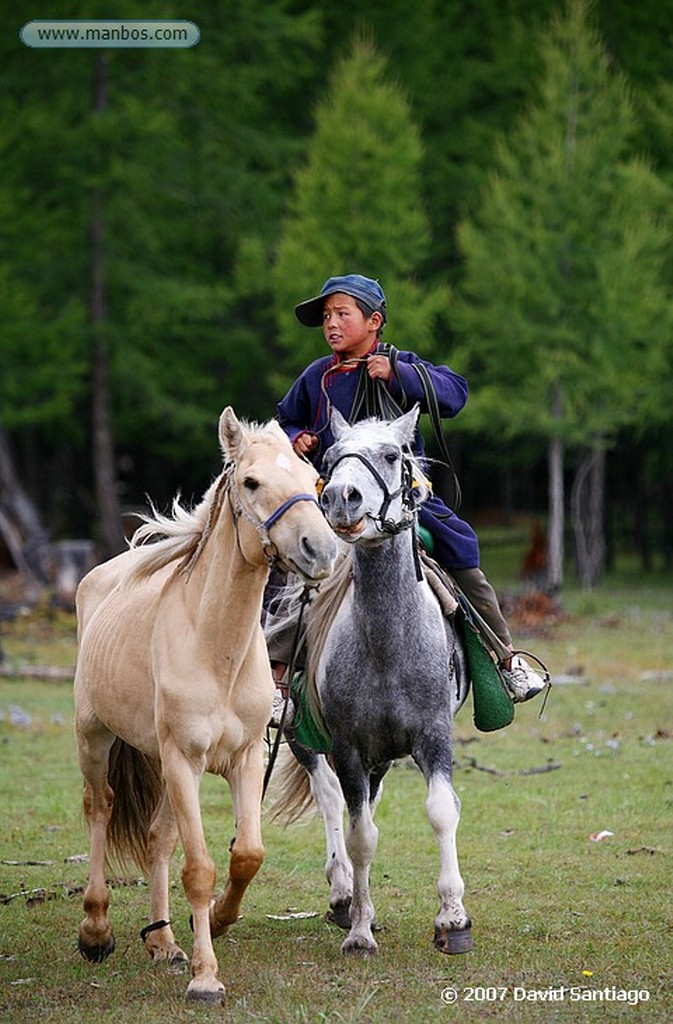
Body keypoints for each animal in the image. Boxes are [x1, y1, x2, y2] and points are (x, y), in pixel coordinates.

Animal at [73, 407, 335, 999]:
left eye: (314, 482)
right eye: (251, 482)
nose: (321, 550)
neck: (214, 646)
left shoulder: (244, 760)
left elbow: (246, 856)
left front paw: (217, 920)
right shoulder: (184, 760)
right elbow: (199, 869)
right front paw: (206, 977)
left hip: (163, 764)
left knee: (157, 838)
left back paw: (164, 942)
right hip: (96, 738)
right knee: (100, 808)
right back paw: (96, 931)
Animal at [268, 407, 473, 958]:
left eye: (390, 454)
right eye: (331, 458)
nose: (341, 497)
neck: (387, 643)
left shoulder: (432, 735)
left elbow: (441, 812)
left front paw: (453, 919)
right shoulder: (348, 746)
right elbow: (360, 835)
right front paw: (359, 928)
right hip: (303, 736)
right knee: (331, 798)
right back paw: (342, 892)